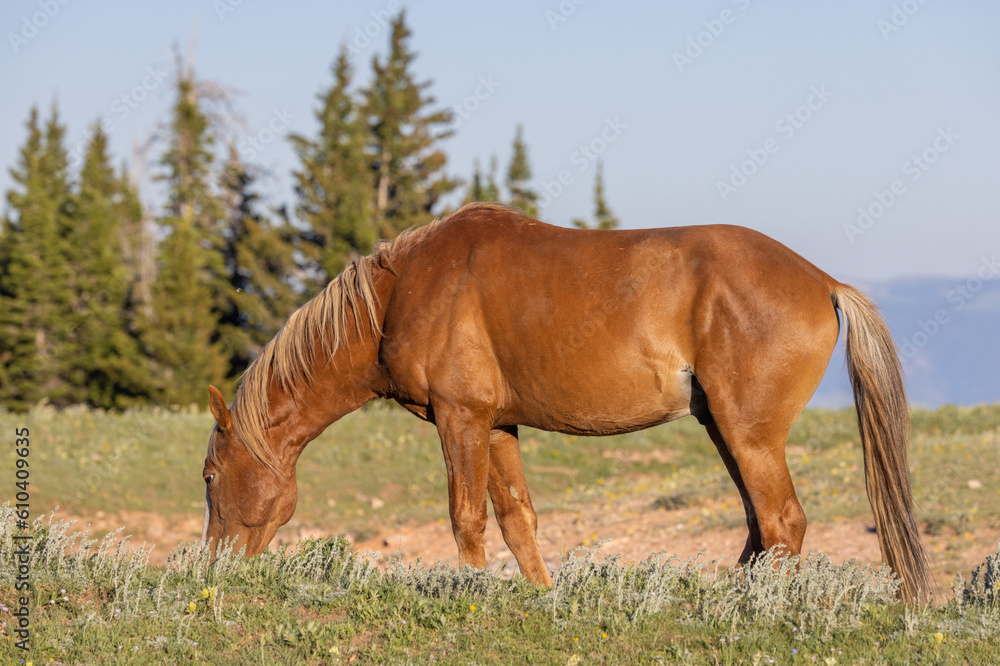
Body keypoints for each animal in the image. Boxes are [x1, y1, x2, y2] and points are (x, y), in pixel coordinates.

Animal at [201, 202, 931, 600]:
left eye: (209, 477)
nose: (214, 567)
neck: (404, 291)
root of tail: (823, 281)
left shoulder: (460, 421)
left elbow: (466, 519)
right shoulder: (498, 427)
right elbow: (516, 520)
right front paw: (538, 600)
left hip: (748, 436)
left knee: (782, 524)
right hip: (726, 431)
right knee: (761, 530)